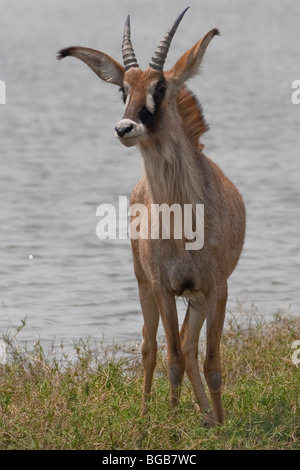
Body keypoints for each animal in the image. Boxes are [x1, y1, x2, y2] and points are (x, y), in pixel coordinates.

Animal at [58, 6, 246, 426]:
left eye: (160, 87)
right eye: (122, 90)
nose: (124, 127)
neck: (184, 222)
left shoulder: (216, 286)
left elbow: (211, 362)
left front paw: (221, 425)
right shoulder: (162, 285)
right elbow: (171, 359)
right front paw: (172, 426)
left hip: (196, 297)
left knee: (190, 348)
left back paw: (207, 417)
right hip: (145, 283)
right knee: (151, 347)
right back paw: (146, 418)